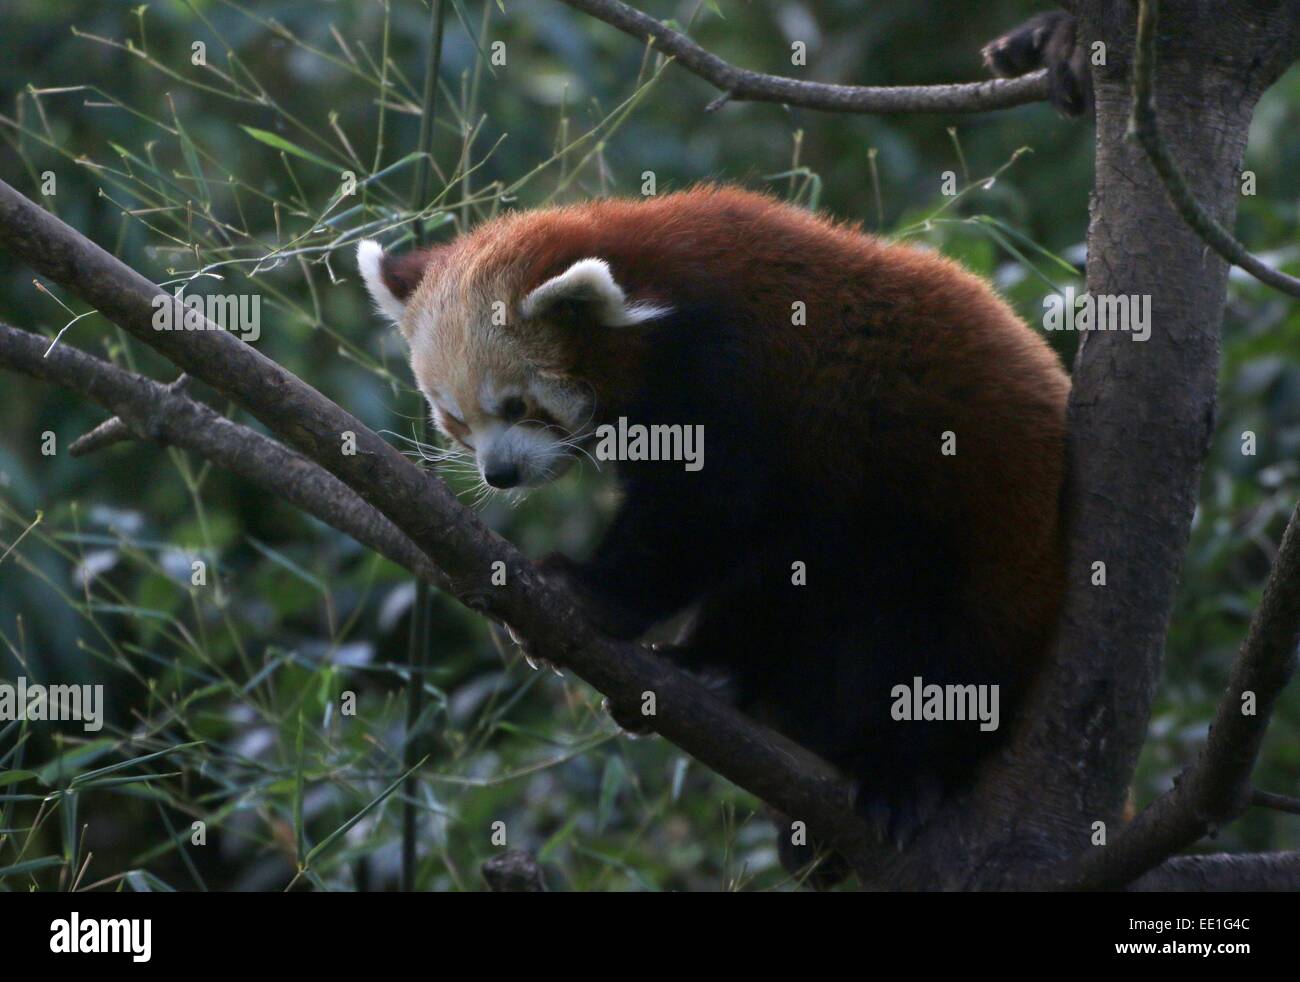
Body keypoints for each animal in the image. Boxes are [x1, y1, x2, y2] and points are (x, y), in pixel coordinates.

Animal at [356, 185, 1066, 858]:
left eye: (515, 405)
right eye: (455, 418)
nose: (500, 473)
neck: (667, 292)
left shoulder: (741, 372)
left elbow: (707, 511)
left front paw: (586, 593)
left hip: (985, 537)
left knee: (943, 655)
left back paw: (900, 774)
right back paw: (716, 670)